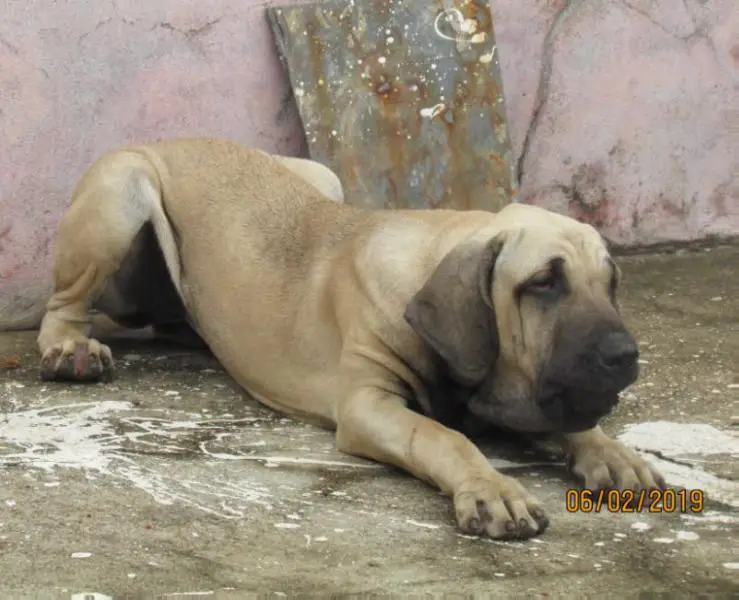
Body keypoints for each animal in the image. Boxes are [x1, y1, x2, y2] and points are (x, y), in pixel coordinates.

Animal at [37, 138, 668, 540]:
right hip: (120, 194)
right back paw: (71, 350)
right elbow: (443, 438)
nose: (624, 355)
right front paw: (492, 488)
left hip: (321, 176)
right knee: (63, 306)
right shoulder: (370, 405)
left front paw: (611, 452)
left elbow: (575, 421)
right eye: (543, 283)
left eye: (611, 283)